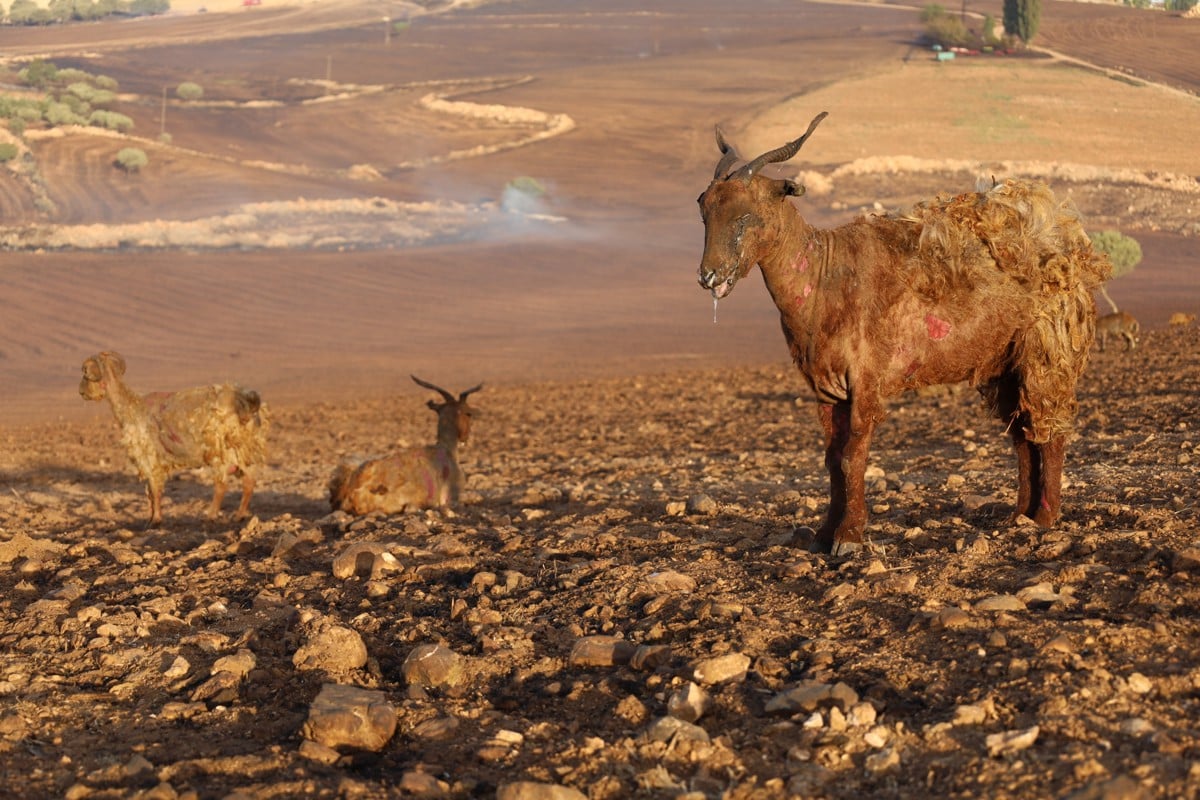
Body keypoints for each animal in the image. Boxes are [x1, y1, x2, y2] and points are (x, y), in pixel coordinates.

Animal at [79, 350, 270, 525]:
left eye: (85, 372)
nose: (81, 392)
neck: (131, 406)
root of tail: (247, 402)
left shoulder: (149, 458)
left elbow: (154, 489)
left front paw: (155, 520)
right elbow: (152, 491)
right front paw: (151, 518)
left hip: (221, 450)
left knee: (222, 484)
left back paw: (210, 515)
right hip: (244, 449)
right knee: (249, 482)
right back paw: (240, 515)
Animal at [700, 110, 1108, 556]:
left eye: (747, 214)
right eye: (703, 208)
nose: (709, 276)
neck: (825, 277)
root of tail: (1070, 247)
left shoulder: (867, 381)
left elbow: (853, 457)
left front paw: (848, 539)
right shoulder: (827, 388)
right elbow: (831, 460)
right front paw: (824, 535)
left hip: (1047, 354)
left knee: (1049, 431)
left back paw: (1047, 518)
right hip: (1005, 364)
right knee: (1022, 436)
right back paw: (1021, 516)